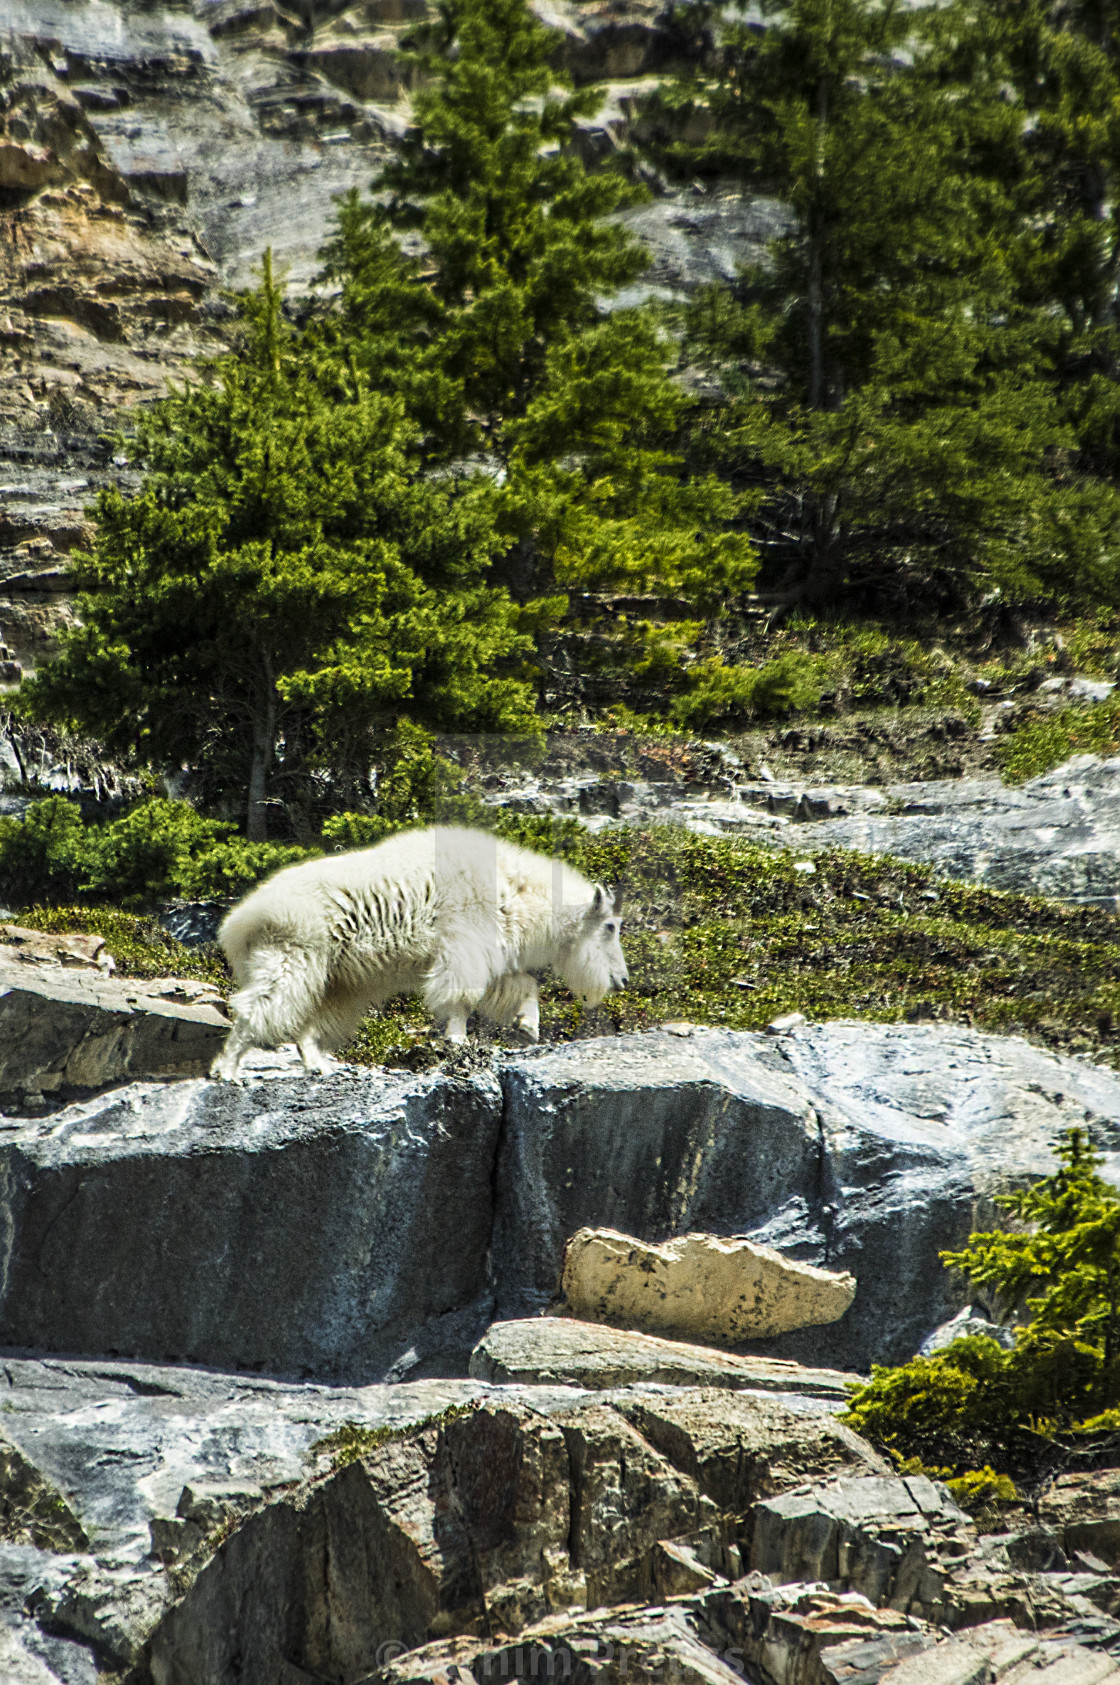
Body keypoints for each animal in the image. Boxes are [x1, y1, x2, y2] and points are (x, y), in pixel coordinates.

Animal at [207, 825, 629, 1078]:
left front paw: (529, 1026)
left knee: (311, 1018)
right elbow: (461, 996)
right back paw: (226, 1069)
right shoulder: (463, 940)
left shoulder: (488, 949)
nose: (621, 980)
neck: (519, 892)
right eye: (610, 927)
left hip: (335, 976)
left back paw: (320, 1066)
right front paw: (458, 1041)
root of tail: (238, 921)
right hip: (293, 951)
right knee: (261, 1004)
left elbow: (520, 984)